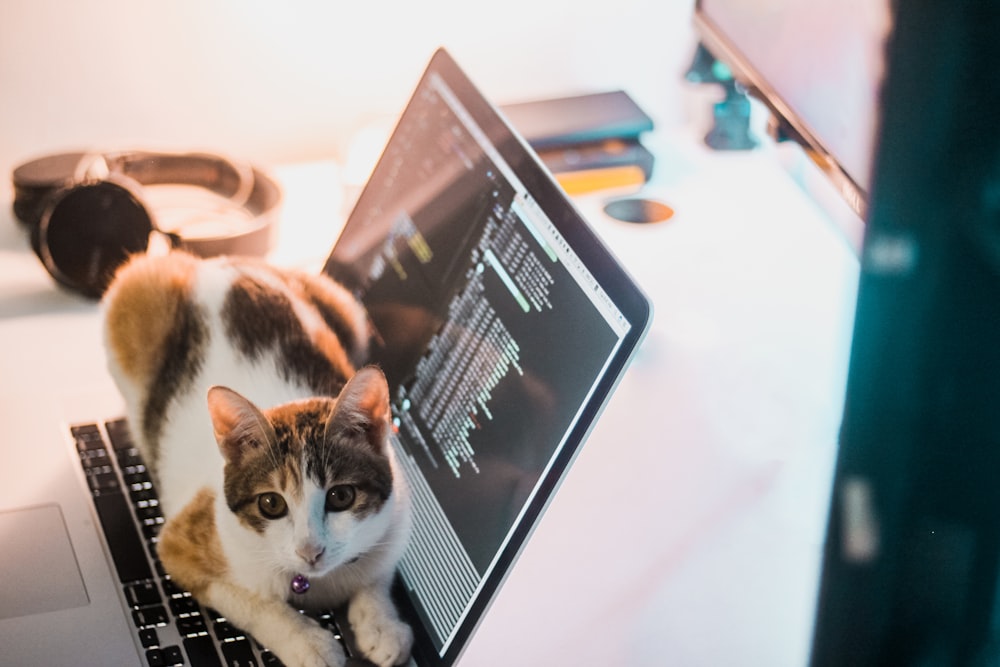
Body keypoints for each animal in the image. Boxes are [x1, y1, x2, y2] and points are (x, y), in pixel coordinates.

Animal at [101, 250, 414, 667]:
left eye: (341, 496)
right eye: (271, 504)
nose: (310, 551)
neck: (319, 584)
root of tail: (217, 261)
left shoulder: (395, 520)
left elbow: (378, 574)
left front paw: (381, 624)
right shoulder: (180, 546)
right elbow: (255, 603)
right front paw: (309, 643)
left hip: (346, 307)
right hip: (134, 293)